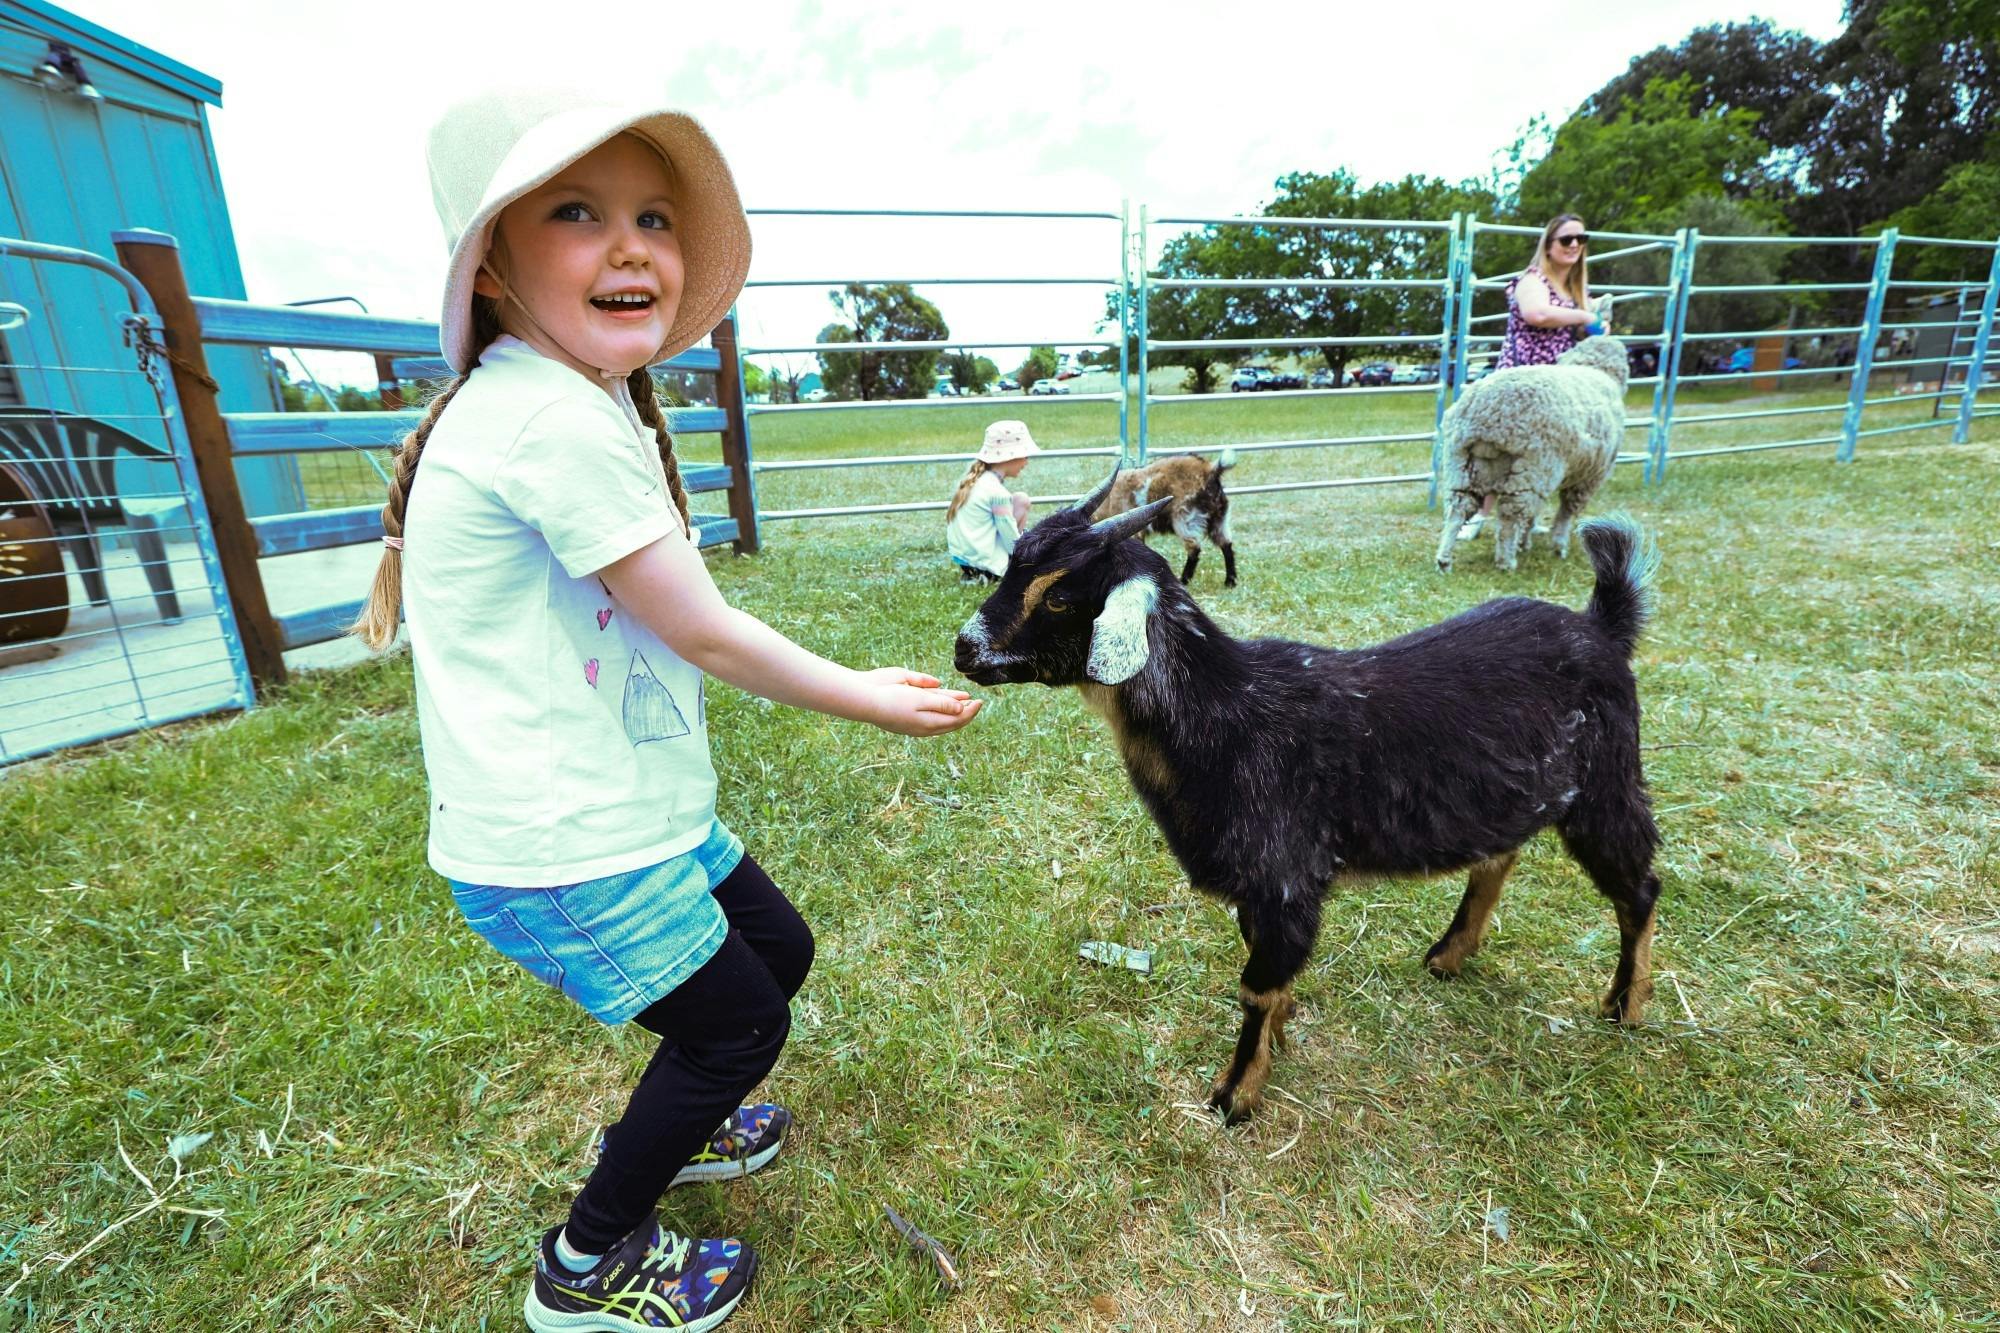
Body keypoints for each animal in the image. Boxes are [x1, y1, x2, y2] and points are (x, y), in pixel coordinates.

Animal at [954, 472, 1663, 1123]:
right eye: (1011, 566)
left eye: (1058, 596)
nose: (965, 648)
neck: (1227, 716)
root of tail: (1603, 627)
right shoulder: (1259, 888)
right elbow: (1267, 978)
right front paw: (1282, 1038)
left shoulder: (1286, 879)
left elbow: (1255, 988)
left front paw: (1236, 1094)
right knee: (1499, 856)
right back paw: (1448, 956)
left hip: (1606, 784)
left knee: (1639, 887)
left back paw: (1623, 1007)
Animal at [1092, 450, 1238, 587]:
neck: (1109, 501)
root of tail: (1210, 471)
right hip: (1219, 518)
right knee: (1226, 544)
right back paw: (1230, 581)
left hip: (1185, 517)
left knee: (1194, 548)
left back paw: (1184, 579)